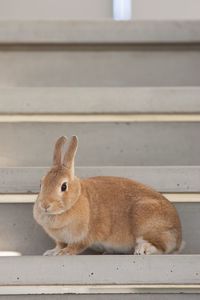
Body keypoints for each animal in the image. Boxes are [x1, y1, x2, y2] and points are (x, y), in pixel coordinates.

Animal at [33, 136, 183, 255]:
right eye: (41, 184)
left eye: (63, 186)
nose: (45, 205)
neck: (76, 199)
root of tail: (179, 236)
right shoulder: (60, 239)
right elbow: (59, 245)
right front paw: (51, 252)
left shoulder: (83, 238)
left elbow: (75, 247)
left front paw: (63, 253)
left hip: (146, 221)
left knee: (161, 247)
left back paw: (142, 249)